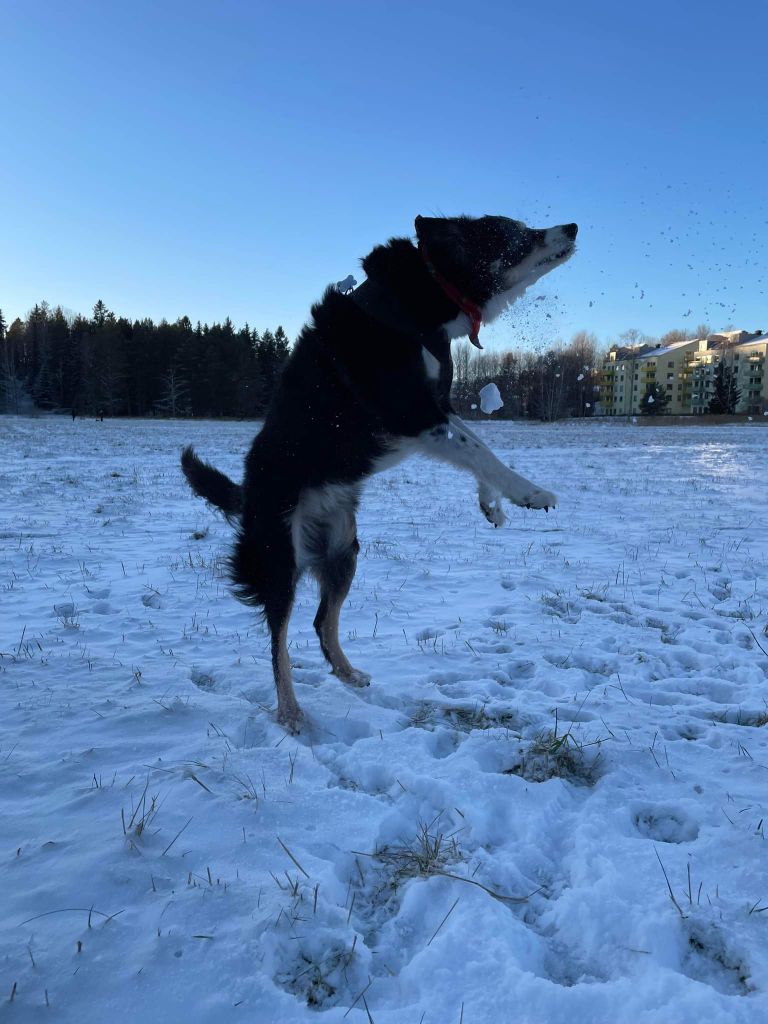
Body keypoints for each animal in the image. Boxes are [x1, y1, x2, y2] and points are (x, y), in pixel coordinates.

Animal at [180, 214, 577, 729]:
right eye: (515, 233)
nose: (572, 227)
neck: (424, 292)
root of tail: (246, 493)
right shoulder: (412, 413)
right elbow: (480, 449)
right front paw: (528, 493)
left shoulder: (435, 409)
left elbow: (476, 445)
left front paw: (491, 504)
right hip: (280, 555)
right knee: (277, 639)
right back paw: (290, 711)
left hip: (343, 549)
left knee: (320, 623)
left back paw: (348, 674)